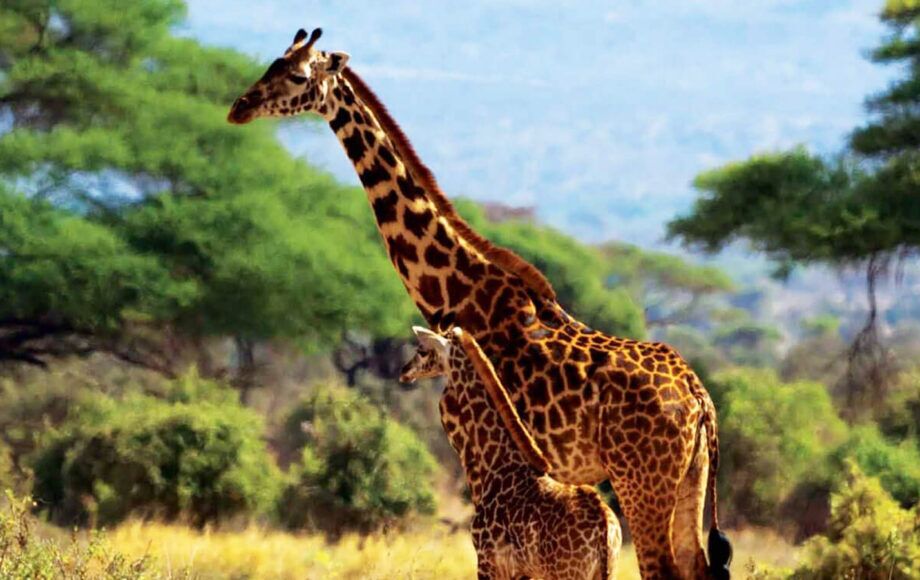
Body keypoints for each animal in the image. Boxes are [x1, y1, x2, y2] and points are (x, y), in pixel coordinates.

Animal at [400, 326, 620, 580]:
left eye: (422, 350)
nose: (404, 371)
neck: (492, 467)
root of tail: (605, 530)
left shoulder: (488, 562)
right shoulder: (522, 572)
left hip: (567, 573)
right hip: (606, 572)